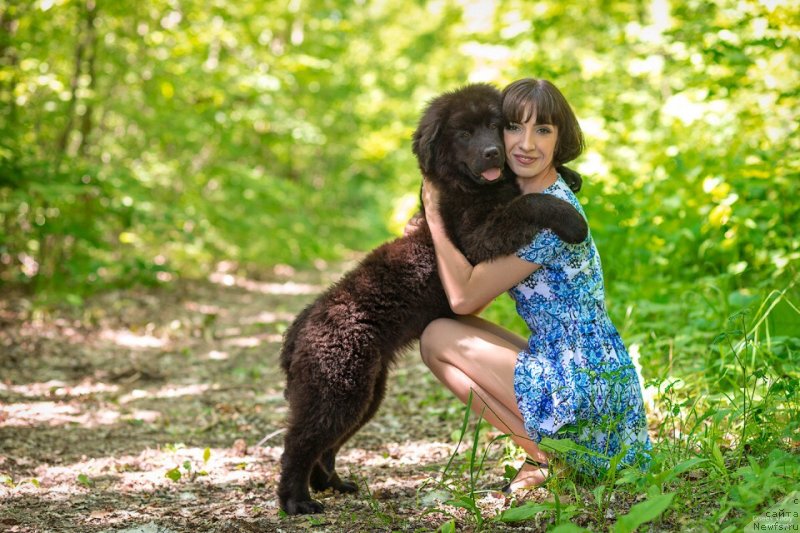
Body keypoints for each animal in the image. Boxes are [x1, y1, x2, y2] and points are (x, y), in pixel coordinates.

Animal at [276, 84, 588, 516]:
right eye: (464, 133)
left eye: (496, 125)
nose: (494, 152)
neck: (470, 189)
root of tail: (299, 330)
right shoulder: (476, 240)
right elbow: (529, 202)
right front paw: (571, 219)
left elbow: (529, 195)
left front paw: (571, 176)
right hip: (336, 389)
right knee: (299, 443)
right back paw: (296, 500)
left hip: (363, 393)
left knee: (326, 445)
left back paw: (332, 484)